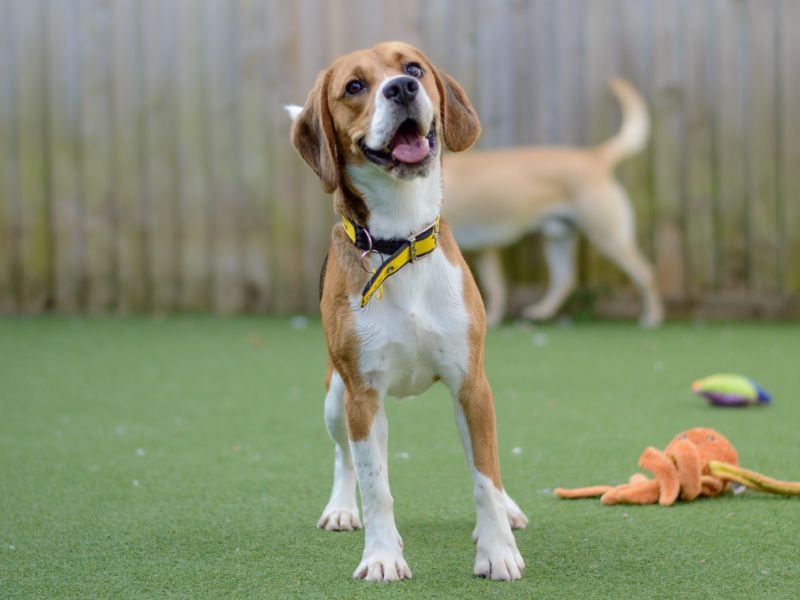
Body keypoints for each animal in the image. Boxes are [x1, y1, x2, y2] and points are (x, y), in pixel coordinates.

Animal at [286, 42, 524, 580]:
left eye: (412, 68)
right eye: (354, 86)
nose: (401, 88)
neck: (401, 242)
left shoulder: (472, 385)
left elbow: (485, 474)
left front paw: (497, 551)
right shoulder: (361, 396)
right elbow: (377, 487)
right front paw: (381, 556)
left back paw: (508, 509)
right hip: (335, 400)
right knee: (346, 460)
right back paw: (342, 508)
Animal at [444, 79, 664, 328]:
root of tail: (595, 158)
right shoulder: (484, 250)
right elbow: (495, 287)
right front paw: (491, 319)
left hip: (607, 235)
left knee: (646, 273)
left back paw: (652, 317)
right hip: (559, 236)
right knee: (565, 280)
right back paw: (540, 312)